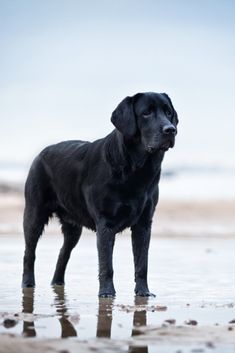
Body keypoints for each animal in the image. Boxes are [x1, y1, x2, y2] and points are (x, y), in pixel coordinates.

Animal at [22, 92, 178, 296]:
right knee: (29, 253)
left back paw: (57, 282)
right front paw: (107, 293)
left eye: (168, 112)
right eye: (146, 113)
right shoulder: (106, 223)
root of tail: (40, 154)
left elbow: (142, 264)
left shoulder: (144, 224)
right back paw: (27, 283)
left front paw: (143, 292)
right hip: (34, 214)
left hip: (73, 227)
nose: (170, 129)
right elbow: (106, 265)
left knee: (63, 253)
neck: (136, 169)